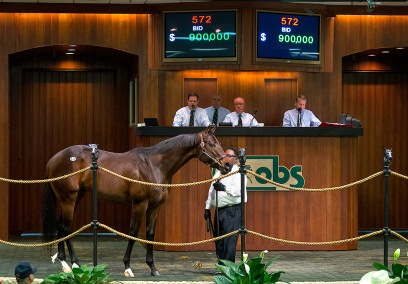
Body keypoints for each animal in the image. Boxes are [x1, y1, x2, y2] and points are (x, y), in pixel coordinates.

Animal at [42, 125, 231, 276]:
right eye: (212, 144)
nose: (228, 165)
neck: (154, 165)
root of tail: (53, 159)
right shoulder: (140, 205)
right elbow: (133, 233)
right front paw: (127, 267)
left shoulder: (155, 207)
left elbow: (150, 235)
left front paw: (153, 268)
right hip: (69, 198)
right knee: (66, 227)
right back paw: (74, 264)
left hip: (75, 197)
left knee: (61, 226)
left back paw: (64, 263)